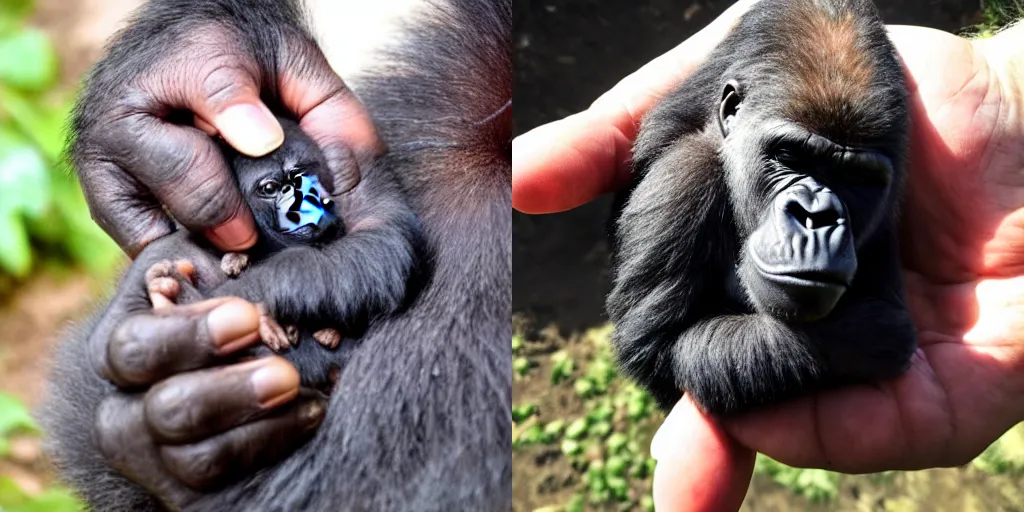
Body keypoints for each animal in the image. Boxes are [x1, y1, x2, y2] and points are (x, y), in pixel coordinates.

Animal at [39, 0, 512, 509]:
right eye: (270, 188)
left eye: (302, 176)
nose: (303, 204)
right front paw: (190, 52)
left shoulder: (357, 169)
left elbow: (378, 245)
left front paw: (243, 299)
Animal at [602, 0, 917, 417]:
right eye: (789, 156)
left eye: (855, 177)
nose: (815, 217)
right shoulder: (681, 180)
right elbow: (659, 348)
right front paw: (866, 335)